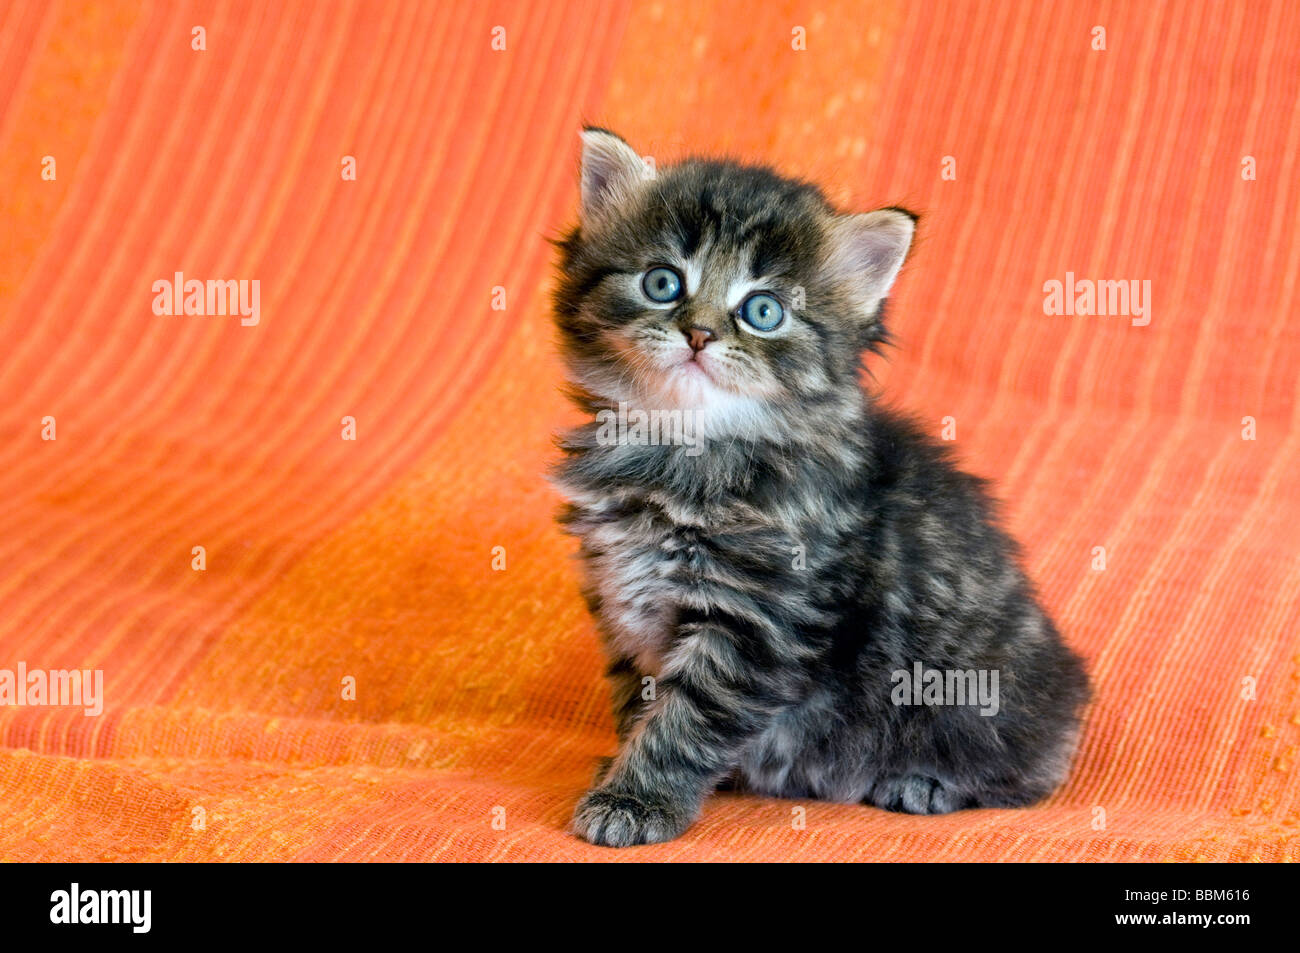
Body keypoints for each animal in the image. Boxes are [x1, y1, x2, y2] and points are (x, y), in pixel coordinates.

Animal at [548, 128, 1086, 847]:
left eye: (763, 311)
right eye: (662, 282)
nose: (699, 333)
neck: (680, 450)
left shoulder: (756, 618)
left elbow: (686, 721)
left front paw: (637, 800)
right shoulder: (623, 601)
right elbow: (639, 698)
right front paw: (622, 765)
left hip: (978, 694)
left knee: (1027, 772)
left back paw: (925, 782)